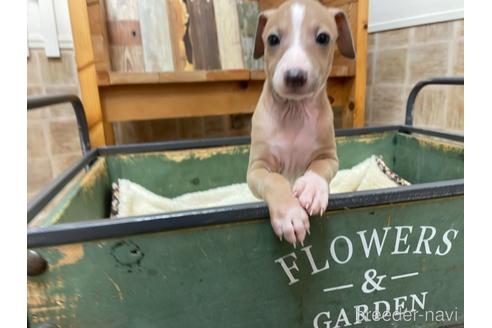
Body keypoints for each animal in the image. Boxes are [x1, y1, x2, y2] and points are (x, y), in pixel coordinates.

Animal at [248, 0, 356, 246]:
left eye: (323, 37)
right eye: (272, 39)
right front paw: (290, 214)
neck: (294, 112)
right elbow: (274, 179)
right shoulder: (256, 168)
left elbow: (319, 166)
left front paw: (312, 188)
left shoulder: (329, 157)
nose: (295, 76)